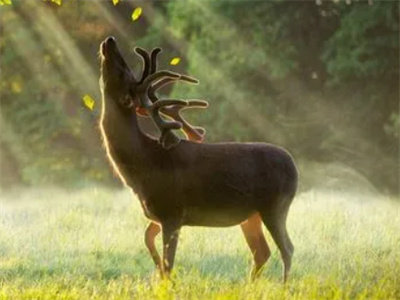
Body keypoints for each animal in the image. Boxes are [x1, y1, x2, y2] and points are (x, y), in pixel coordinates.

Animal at [100, 36, 298, 282]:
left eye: (123, 71)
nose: (110, 40)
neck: (143, 166)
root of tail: (294, 167)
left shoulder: (172, 211)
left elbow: (169, 262)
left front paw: (165, 281)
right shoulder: (158, 215)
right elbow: (148, 240)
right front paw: (156, 273)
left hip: (275, 205)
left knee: (287, 249)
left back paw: (283, 285)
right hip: (251, 215)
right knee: (262, 251)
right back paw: (250, 285)